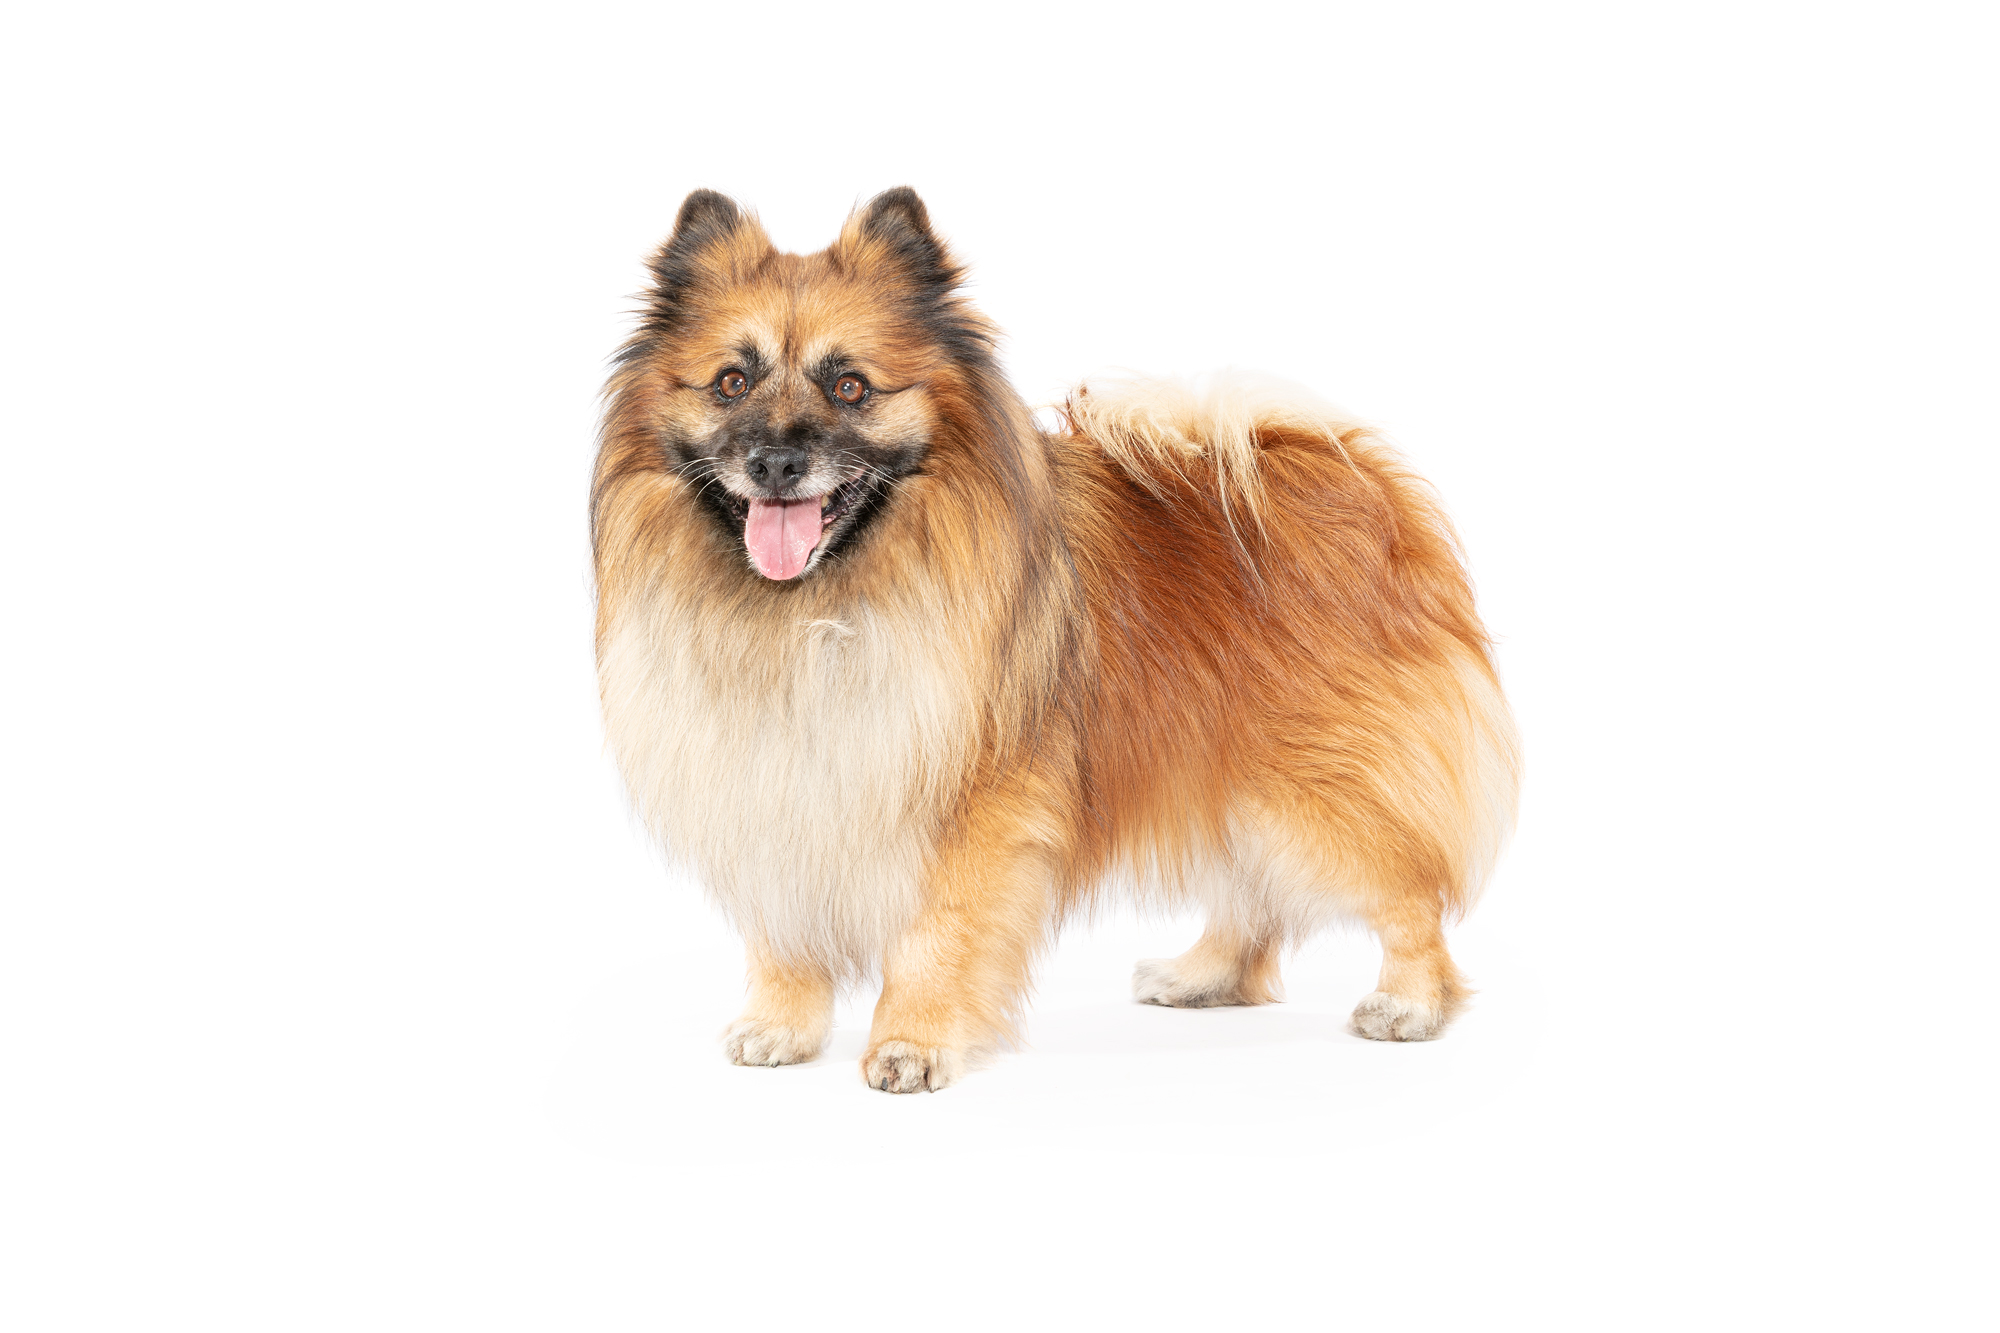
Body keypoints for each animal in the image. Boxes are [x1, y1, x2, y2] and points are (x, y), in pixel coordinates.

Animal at [593, 188, 1519, 1092]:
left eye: (851, 386)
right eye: (730, 382)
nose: (777, 462)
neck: (812, 608)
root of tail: (1354, 483)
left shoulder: (972, 808)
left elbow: (936, 936)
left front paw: (913, 1043)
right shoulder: (773, 792)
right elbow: (783, 932)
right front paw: (783, 1025)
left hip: (1309, 787)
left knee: (1406, 893)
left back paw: (1408, 1002)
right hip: (1226, 777)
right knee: (1253, 898)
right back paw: (1205, 975)